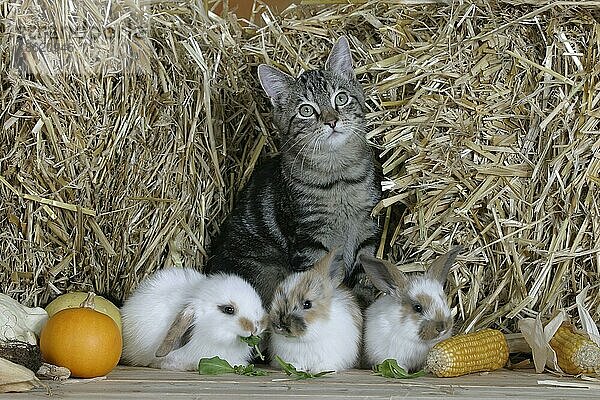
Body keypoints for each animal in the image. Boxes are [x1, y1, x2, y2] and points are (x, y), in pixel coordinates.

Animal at [206, 36, 382, 306]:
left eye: (341, 98)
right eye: (306, 110)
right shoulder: (309, 239)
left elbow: (365, 279)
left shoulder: (366, 229)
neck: (338, 175)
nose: (331, 121)